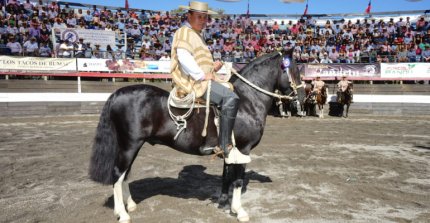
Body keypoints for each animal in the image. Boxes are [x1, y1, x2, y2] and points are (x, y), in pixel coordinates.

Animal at [88, 49, 302, 222]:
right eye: (294, 71)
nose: (302, 96)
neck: (247, 102)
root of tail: (117, 94)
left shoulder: (228, 150)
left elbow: (226, 177)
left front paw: (223, 203)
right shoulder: (243, 149)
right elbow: (238, 181)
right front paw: (239, 211)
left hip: (133, 146)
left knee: (125, 174)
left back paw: (130, 204)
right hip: (130, 145)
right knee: (118, 174)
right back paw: (122, 214)